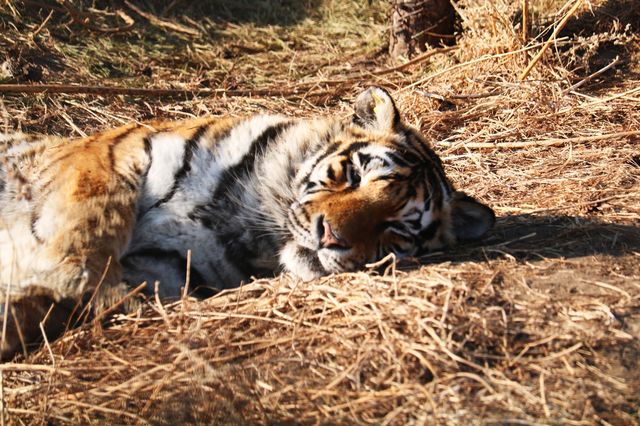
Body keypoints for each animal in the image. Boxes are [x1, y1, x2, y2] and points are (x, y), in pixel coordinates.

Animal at [0, 87, 496, 360]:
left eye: (396, 227)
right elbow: (96, 212)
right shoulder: (114, 152)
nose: (329, 237)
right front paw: (69, 271)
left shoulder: (163, 268)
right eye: (355, 175)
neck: (255, 220)